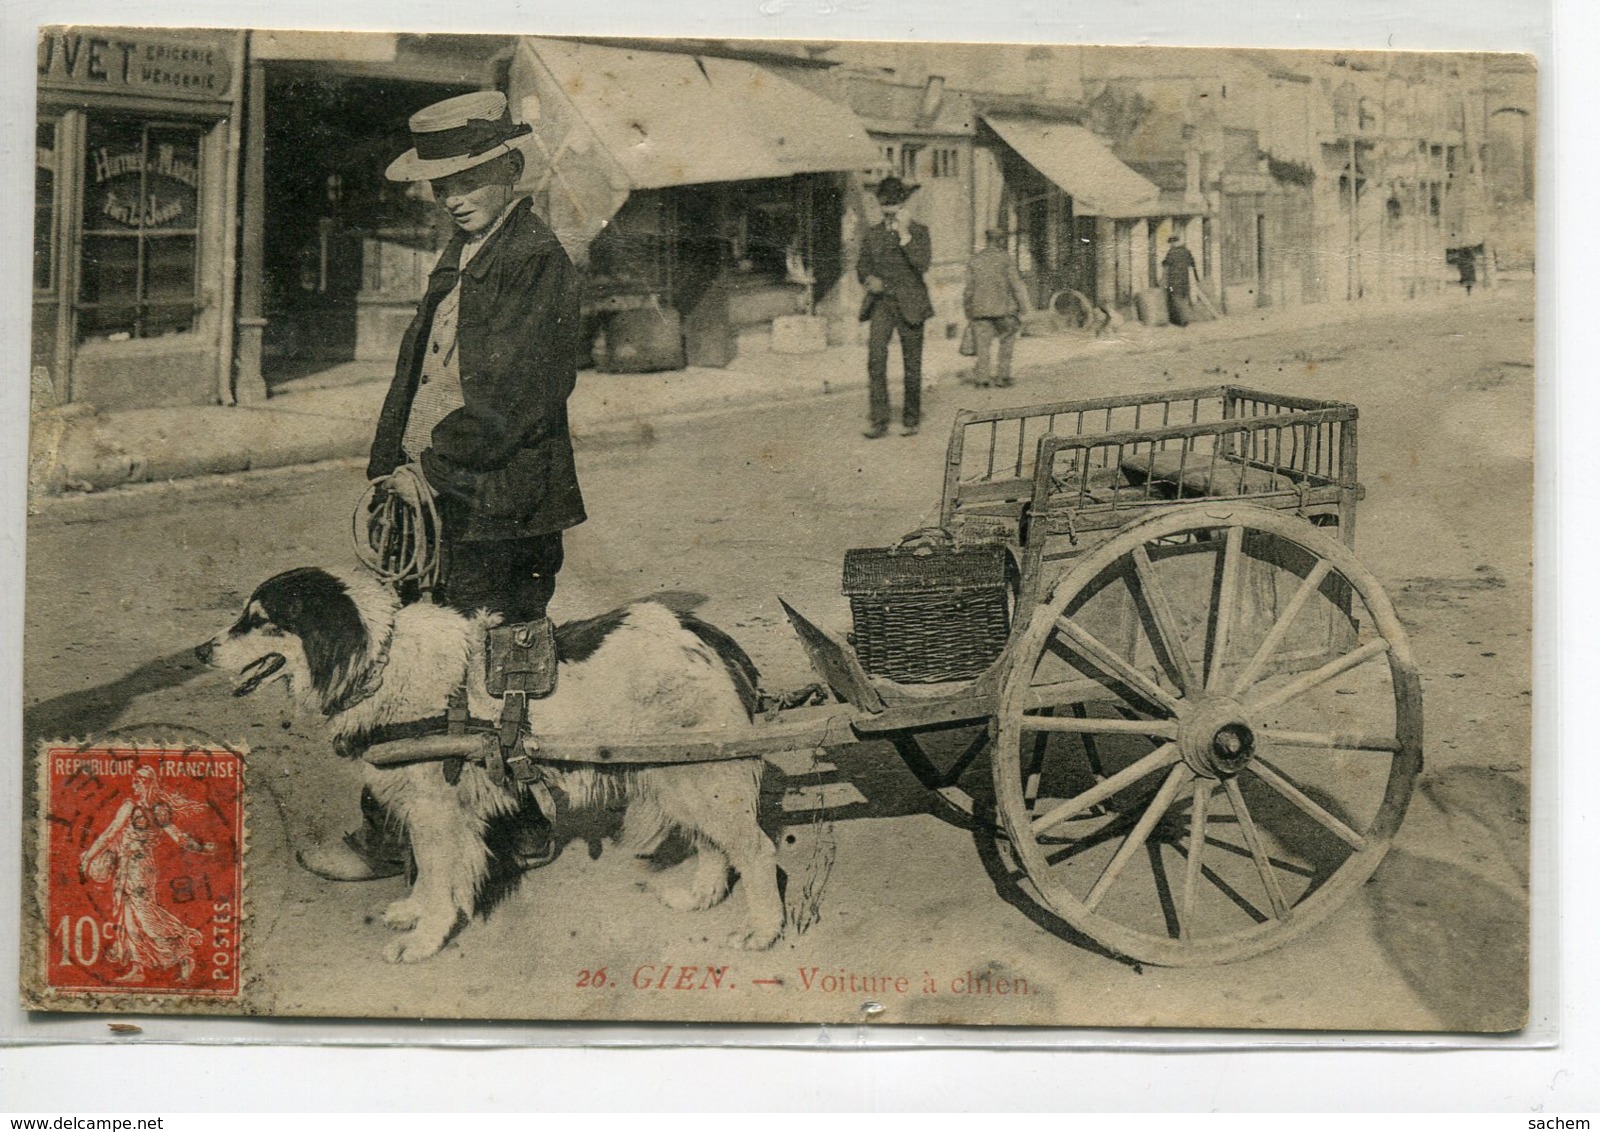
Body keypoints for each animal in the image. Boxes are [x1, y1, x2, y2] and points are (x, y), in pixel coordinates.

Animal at [196, 566, 784, 965]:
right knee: (716, 843)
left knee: (756, 851)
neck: (379, 661)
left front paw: (424, 938)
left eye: (260, 622)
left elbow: (438, 876)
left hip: (695, 777)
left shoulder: (436, 809)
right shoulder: (428, 809)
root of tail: (701, 631)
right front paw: (414, 911)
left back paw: (764, 930)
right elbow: (428, 870)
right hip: (680, 772)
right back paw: (702, 896)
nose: (200, 652)